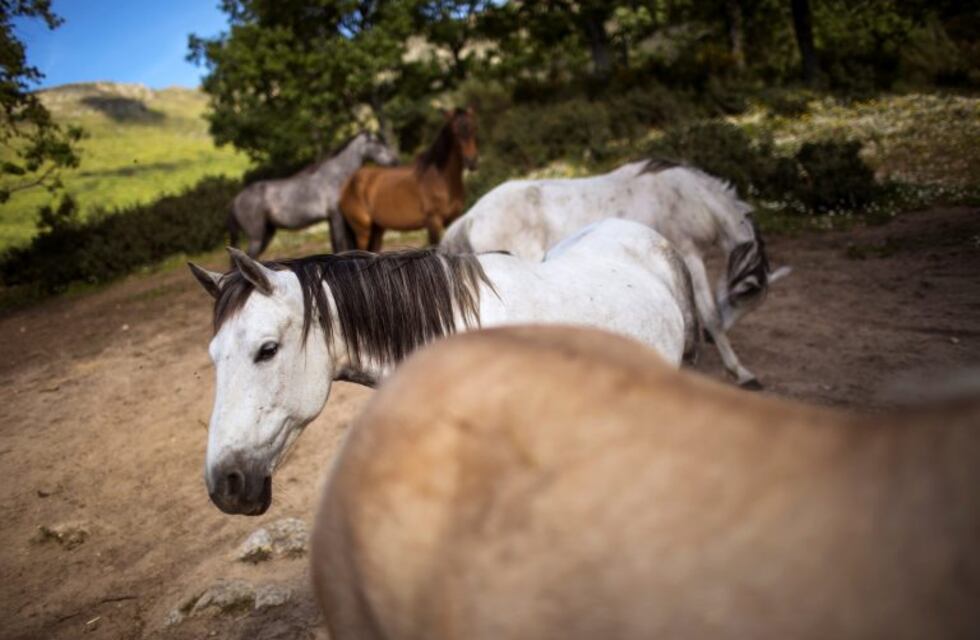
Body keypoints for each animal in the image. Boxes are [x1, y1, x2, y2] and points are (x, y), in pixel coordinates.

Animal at [229, 131, 397, 258]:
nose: (394, 160)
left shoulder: (331, 219)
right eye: (376, 142)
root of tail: (236, 199)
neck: (337, 175)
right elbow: (340, 244)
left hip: (267, 234)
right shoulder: (336, 216)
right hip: (256, 238)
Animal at [336, 108, 477, 251]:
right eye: (455, 132)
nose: (471, 162)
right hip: (363, 231)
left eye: (473, 129)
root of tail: (347, 185)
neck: (442, 179)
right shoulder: (433, 222)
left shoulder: (453, 220)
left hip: (377, 229)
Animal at [440, 159, 791, 389]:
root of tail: (471, 216)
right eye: (743, 299)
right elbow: (712, 315)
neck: (693, 197)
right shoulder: (690, 253)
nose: (703, 339)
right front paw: (740, 371)